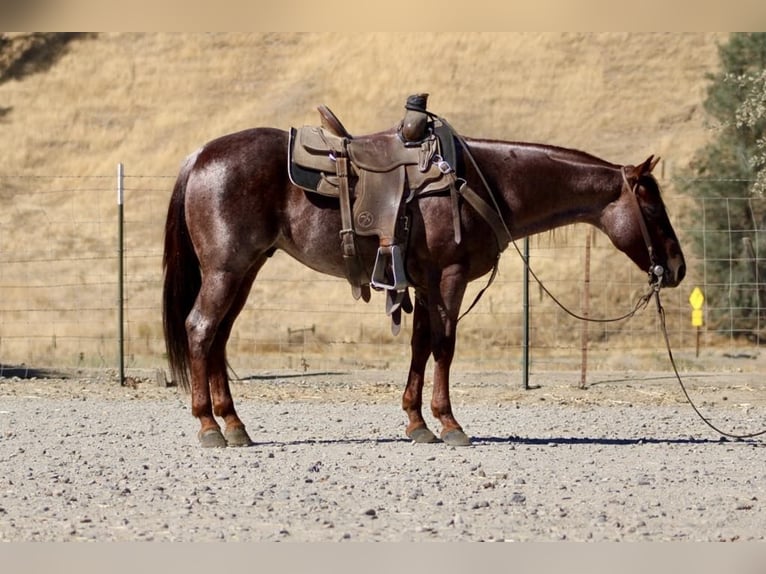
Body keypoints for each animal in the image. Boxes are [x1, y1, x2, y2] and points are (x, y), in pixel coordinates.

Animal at [164, 121, 688, 448]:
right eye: (653, 208)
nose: (678, 268)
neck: (483, 181)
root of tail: (199, 156)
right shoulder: (450, 277)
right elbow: (444, 345)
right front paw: (450, 423)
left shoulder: (422, 283)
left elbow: (419, 345)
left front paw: (417, 423)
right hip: (226, 270)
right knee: (200, 329)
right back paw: (209, 426)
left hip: (245, 270)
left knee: (219, 336)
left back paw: (234, 425)